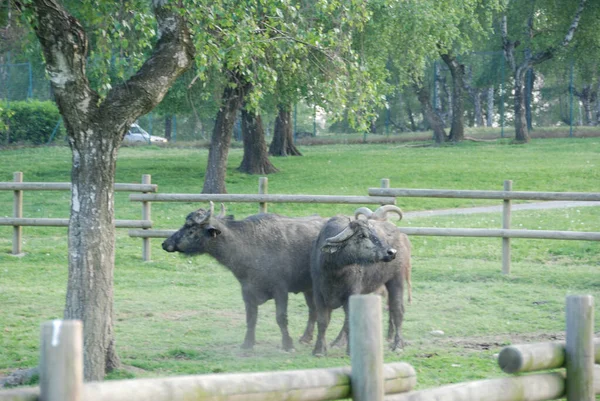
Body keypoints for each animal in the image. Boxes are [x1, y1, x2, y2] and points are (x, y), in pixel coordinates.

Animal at [162, 202, 326, 348]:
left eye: (191, 228)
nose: (165, 243)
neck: (249, 246)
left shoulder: (280, 289)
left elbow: (281, 317)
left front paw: (287, 344)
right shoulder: (247, 290)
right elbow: (251, 318)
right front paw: (247, 343)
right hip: (308, 288)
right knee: (313, 310)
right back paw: (306, 337)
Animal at [310, 208, 408, 354]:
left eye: (374, 232)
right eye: (362, 235)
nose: (391, 252)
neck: (335, 272)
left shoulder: (351, 294)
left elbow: (349, 322)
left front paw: (351, 350)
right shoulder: (318, 295)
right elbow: (322, 321)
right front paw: (319, 349)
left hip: (397, 278)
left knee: (397, 309)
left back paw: (398, 344)